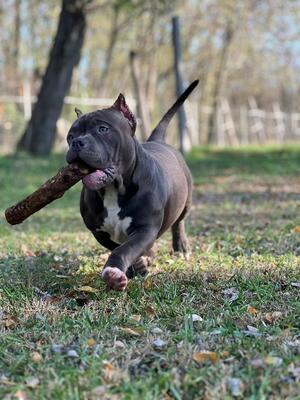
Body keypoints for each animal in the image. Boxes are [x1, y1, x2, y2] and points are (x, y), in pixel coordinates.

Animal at [66, 81, 198, 292]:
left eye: (102, 129)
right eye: (70, 136)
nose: (77, 142)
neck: (113, 190)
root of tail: (157, 141)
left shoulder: (145, 228)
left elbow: (126, 248)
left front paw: (114, 272)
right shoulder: (99, 232)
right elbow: (120, 247)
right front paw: (137, 267)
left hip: (186, 202)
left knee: (179, 223)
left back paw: (181, 247)